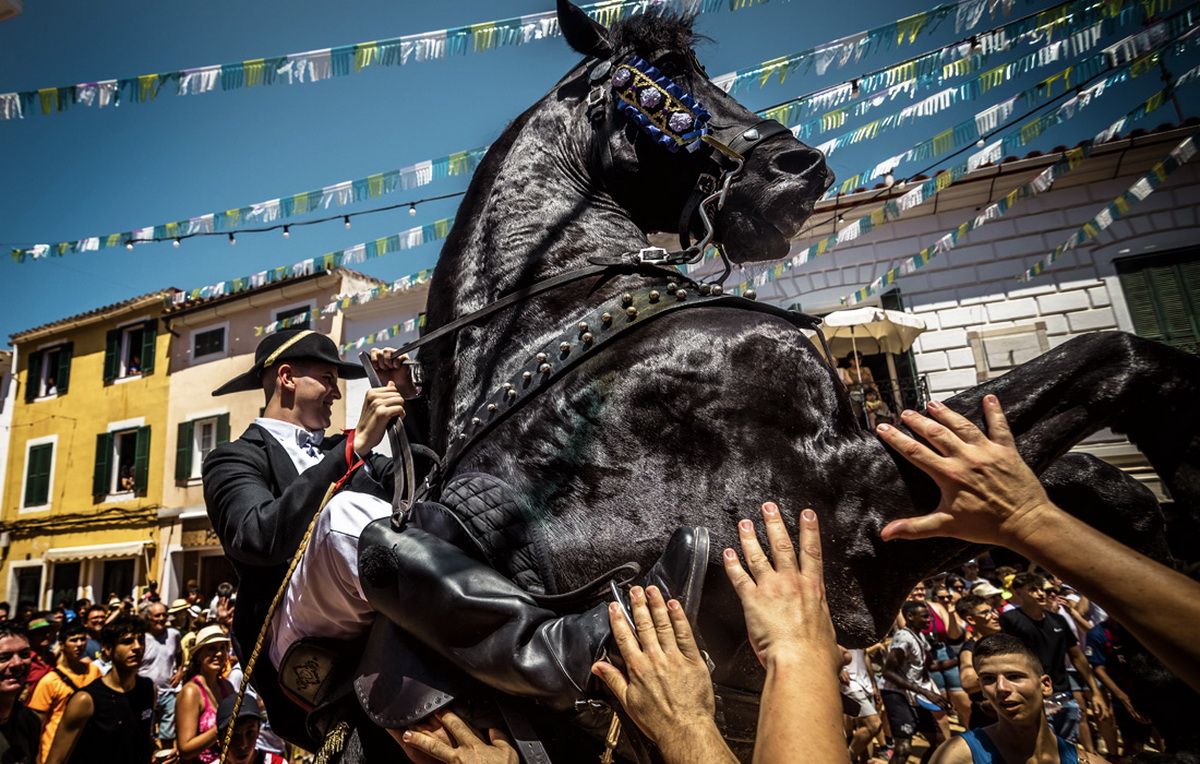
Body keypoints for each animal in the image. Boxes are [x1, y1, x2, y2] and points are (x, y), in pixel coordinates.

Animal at [376, 0, 1200, 753]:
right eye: (664, 77)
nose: (799, 172)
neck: (564, 321)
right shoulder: (847, 511)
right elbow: (1123, 358)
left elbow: (1089, 478)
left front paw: (1158, 632)